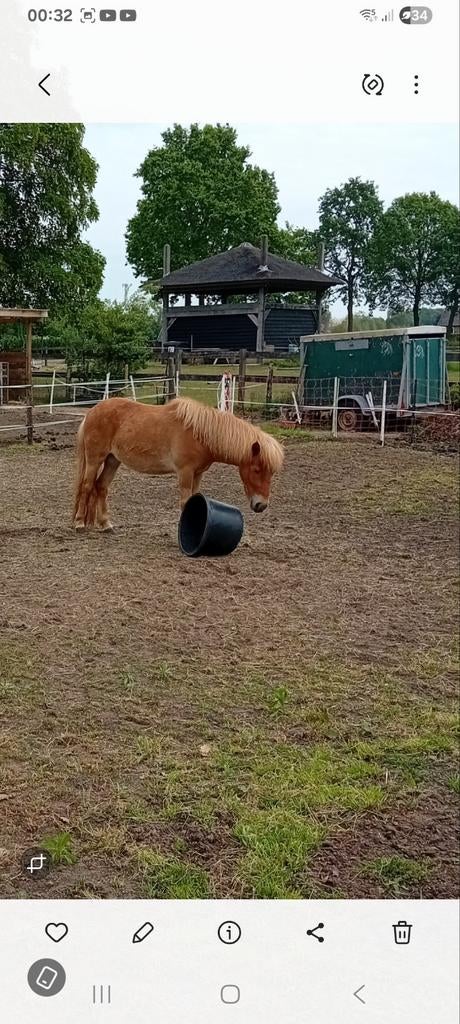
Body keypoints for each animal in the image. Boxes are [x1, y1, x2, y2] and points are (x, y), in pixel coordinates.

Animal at [73, 396, 284, 531]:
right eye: (256, 470)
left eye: (271, 473)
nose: (261, 505)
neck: (200, 433)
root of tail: (92, 412)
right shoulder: (185, 472)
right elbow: (185, 502)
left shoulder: (198, 473)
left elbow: (194, 499)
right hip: (95, 459)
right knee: (87, 486)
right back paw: (79, 523)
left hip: (112, 460)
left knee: (101, 487)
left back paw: (105, 524)